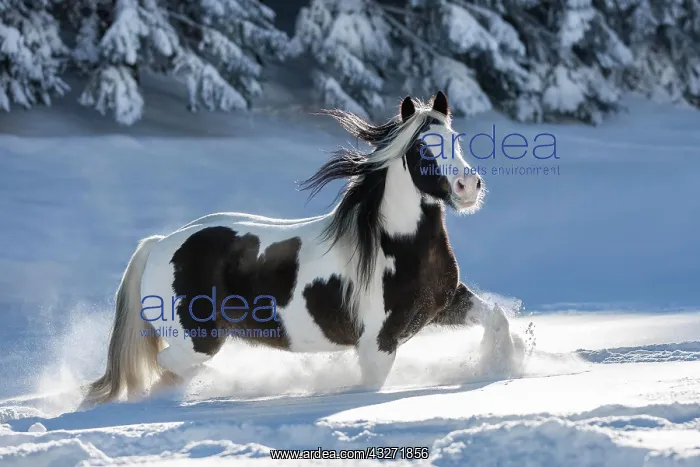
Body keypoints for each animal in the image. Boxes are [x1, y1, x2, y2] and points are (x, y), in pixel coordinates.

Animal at [81, 91, 515, 407]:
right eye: (423, 149)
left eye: (456, 141)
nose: (467, 188)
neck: (396, 246)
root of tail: (158, 245)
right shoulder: (377, 343)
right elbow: (371, 387)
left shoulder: (445, 303)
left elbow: (497, 318)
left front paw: (504, 367)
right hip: (198, 340)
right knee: (165, 367)